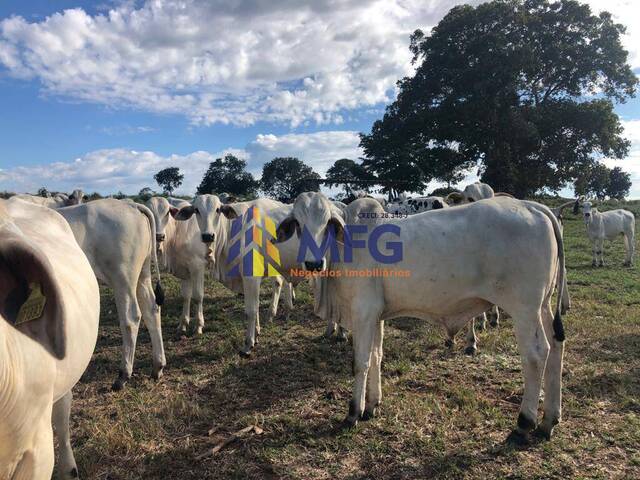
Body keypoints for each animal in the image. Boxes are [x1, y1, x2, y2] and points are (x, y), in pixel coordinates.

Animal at [57, 200, 166, 390]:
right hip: (143, 274)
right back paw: (157, 367)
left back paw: (123, 375)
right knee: (152, 309)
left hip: (122, 277)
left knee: (131, 317)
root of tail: (131, 205)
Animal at [172, 195, 298, 356]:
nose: (208, 236)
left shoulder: (251, 277)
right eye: (196, 210)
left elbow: (251, 310)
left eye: (218, 209)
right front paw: (256, 334)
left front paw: (248, 344)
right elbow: (255, 307)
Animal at [278, 192, 568, 442]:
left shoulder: (363, 311)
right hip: (543, 306)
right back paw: (549, 420)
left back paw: (525, 422)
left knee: (536, 354)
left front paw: (353, 412)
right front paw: (373, 405)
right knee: (556, 345)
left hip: (524, 308)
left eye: (327, 223)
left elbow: (361, 362)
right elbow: (377, 356)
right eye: (299, 224)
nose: (313, 263)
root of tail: (533, 207)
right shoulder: (376, 314)